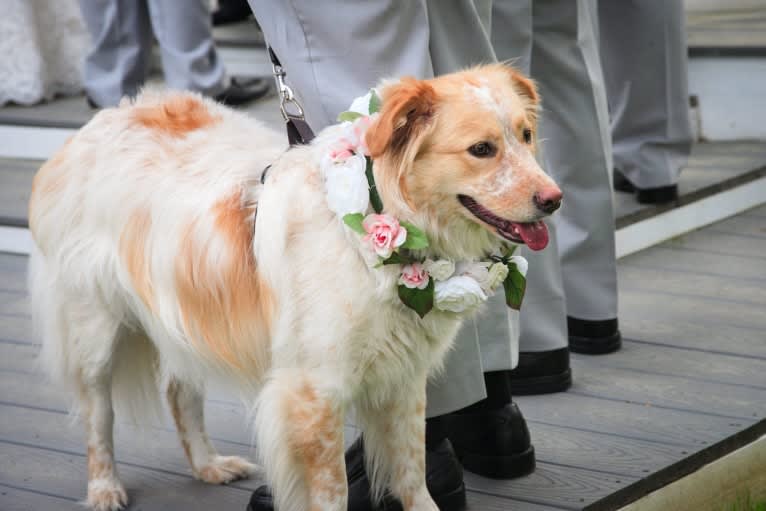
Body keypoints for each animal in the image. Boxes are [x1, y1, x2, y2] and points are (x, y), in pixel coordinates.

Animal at [28, 65, 564, 511]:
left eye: (526, 136)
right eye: (481, 149)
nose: (554, 200)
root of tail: (95, 126)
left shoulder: (405, 379)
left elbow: (412, 474)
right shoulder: (315, 392)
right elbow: (332, 493)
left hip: (183, 315)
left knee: (180, 392)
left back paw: (208, 466)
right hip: (94, 333)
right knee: (99, 417)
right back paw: (105, 489)